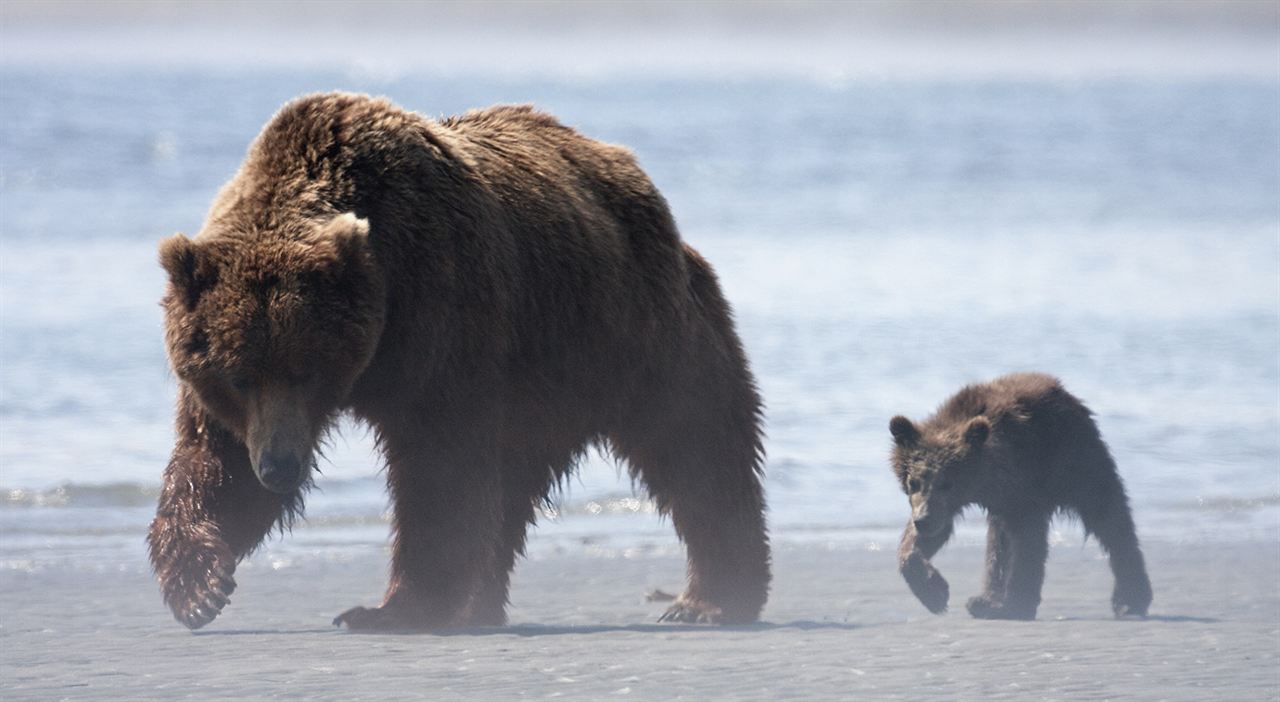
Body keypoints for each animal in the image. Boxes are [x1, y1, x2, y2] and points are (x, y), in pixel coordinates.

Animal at [149, 91, 768, 630]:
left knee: (694, 445)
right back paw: (479, 607)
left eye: (308, 370)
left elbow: (437, 464)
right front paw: (200, 584)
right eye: (237, 376)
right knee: (512, 486)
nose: (279, 467)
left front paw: (391, 609)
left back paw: (713, 598)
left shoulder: (439, 312)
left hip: (630, 334)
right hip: (539, 389)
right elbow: (214, 457)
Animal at [890, 374, 1152, 620]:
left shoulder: (1023, 486)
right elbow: (925, 539)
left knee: (1109, 518)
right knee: (998, 540)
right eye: (913, 482)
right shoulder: (961, 503)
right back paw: (984, 600)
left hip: (1077, 462)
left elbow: (1027, 542)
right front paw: (934, 593)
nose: (923, 520)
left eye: (947, 483)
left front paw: (1015, 604)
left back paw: (1131, 599)